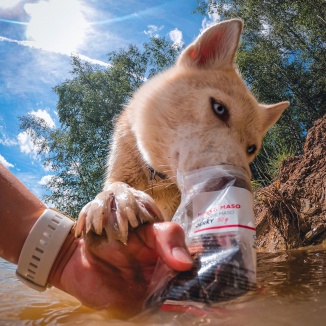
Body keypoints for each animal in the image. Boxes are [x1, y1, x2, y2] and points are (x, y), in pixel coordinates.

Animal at [75, 19, 290, 243]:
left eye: (251, 149)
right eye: (219, 108)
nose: (235, 189)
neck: (157, 178)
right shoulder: (119, 170)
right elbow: (114, 187)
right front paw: (118, 200)